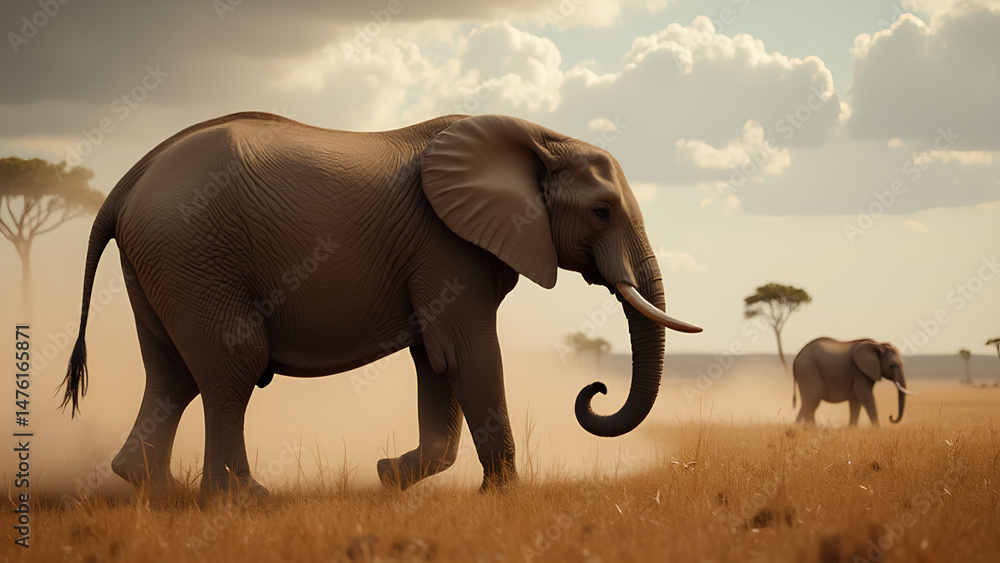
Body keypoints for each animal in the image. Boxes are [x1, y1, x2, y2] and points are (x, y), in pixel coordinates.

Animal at [59, 112, 702, 496]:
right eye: (601, 211)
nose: (594, 390)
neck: (539, 137)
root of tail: (126, 183)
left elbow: (436, 362)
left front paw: (389, 475)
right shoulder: (445, 247)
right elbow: (467, 356)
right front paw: (503, 498)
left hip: (163, 263)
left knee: (172, 374)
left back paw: (157, 493)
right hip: (192, 252)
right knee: (231, 367)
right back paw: (240, 499)